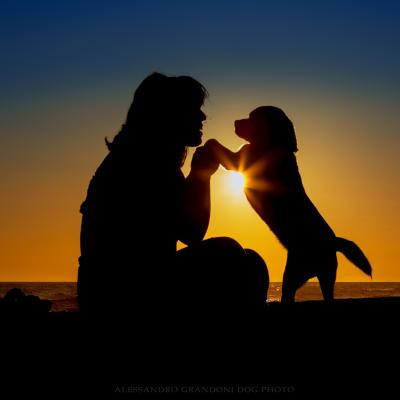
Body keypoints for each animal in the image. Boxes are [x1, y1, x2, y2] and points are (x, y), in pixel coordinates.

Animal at [208, 106, 374, 304]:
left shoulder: (238, 161)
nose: (235, 122)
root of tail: (333, 241)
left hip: (293, 275)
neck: (272, 143)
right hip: (323, 277)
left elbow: (216, 145)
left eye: (253, 118)